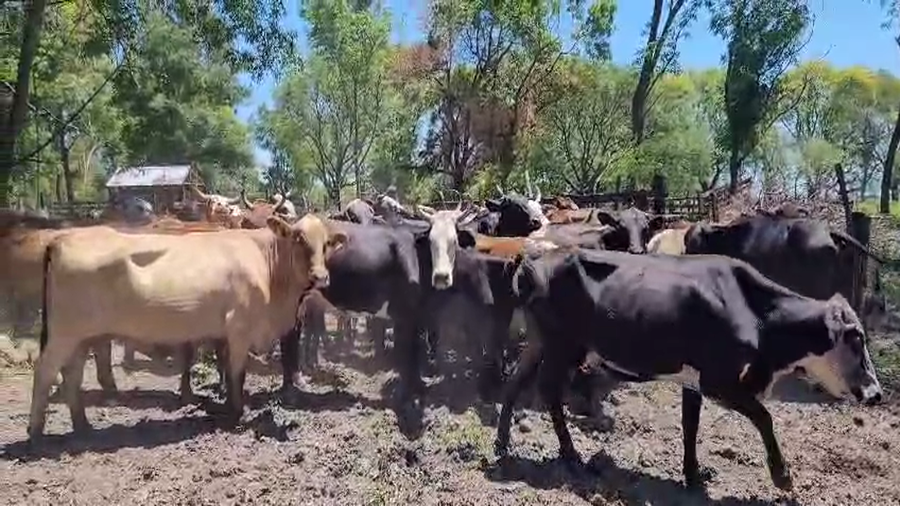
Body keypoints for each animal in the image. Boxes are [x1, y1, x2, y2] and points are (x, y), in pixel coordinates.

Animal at [28, 213, 347, 439]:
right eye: (298, 239)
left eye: (326, 244)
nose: (321, 277)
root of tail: (63, 237)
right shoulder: (239, 328)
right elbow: (238, 373)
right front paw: (238, 413)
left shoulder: (223, 333)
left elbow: (227, 370)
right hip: (65, 333)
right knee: (45, 371)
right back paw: (35, 433)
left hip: (81, 337)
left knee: (72, 374)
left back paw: (82, 426)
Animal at [495, 249, 883, 491]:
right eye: (856, 337)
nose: (877, 393)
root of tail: (534, 257)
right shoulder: (718, 381)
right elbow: (764, 417)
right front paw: (781, 475)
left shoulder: (694, 380)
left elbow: (690, 426)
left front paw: (693, 475)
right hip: (562, 345)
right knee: (548, 390)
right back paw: (571, 455)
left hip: (542, 342)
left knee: (514, 383)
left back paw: (502, 445)